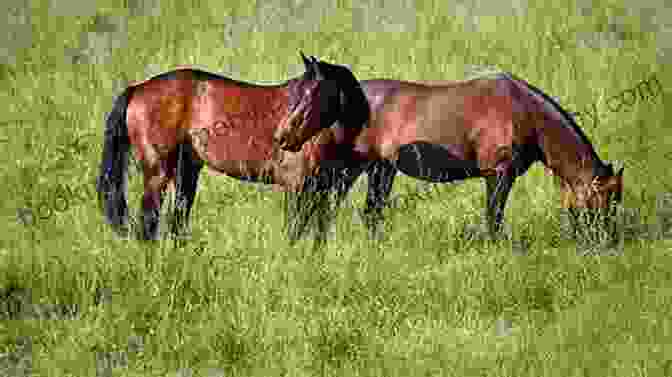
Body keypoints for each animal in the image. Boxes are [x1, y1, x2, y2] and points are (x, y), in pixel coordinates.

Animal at [95, 51, 376, 242]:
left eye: (311, 94)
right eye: (298, 92)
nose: (282, 137)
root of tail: (137, 88)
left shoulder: (323, 190)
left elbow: (318, 234)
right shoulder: (297, 187)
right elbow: (294, 232)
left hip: (186, 172)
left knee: (176, 223)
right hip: (158, 174)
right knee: (148, 225)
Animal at [272, 60, 624, 239]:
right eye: (606, 201)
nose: (608, 242)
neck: (524, 111)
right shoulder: (499, 175)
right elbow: (493, 219)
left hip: (379, 169)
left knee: (367, 212)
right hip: (352, 169)